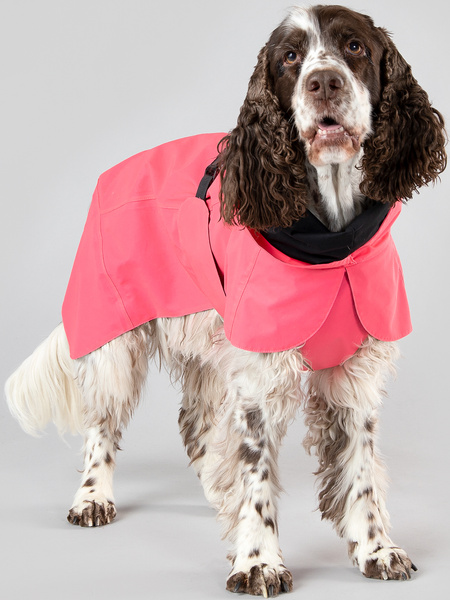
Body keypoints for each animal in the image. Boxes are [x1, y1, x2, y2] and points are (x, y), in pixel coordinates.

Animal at [5, 5, 447, 597]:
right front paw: (258, 559)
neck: (330, 240)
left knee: (196, 427)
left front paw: (376, 548)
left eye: (354, 46)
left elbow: (359, 469)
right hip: (113, 333)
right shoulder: (259, 370)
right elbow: (256, 471)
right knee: (103, 420)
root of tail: (116, 169)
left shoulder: (353, 369)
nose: (323, 82)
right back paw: (93, 497)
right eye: (290, 56)